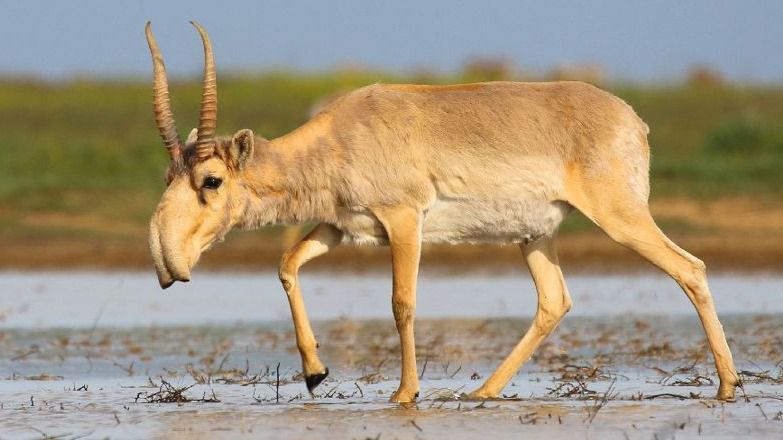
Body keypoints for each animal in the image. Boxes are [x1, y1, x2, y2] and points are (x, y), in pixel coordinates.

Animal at [147, 23, 740, 402]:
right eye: (168, 176)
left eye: (211, 180)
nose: (166, 262)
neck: (339, 135)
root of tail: (632, 119)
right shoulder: (341, 227)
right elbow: (287, 264)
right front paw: (316, 373)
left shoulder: (404, 221)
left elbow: (402, 303)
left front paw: (405, 394)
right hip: (534, 236)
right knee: (554, 301)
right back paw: (483, 392)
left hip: (620, 217)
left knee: (690, 268)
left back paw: (728, 385)